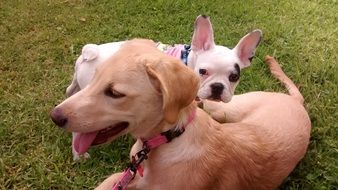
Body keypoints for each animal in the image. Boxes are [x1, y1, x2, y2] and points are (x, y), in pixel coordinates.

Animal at [48, 39, 310, 189]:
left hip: (221, 106)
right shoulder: (127, 176)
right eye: (97, 80)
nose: (55, 117)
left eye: (114, 93)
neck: (168, 140)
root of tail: (297, 102)